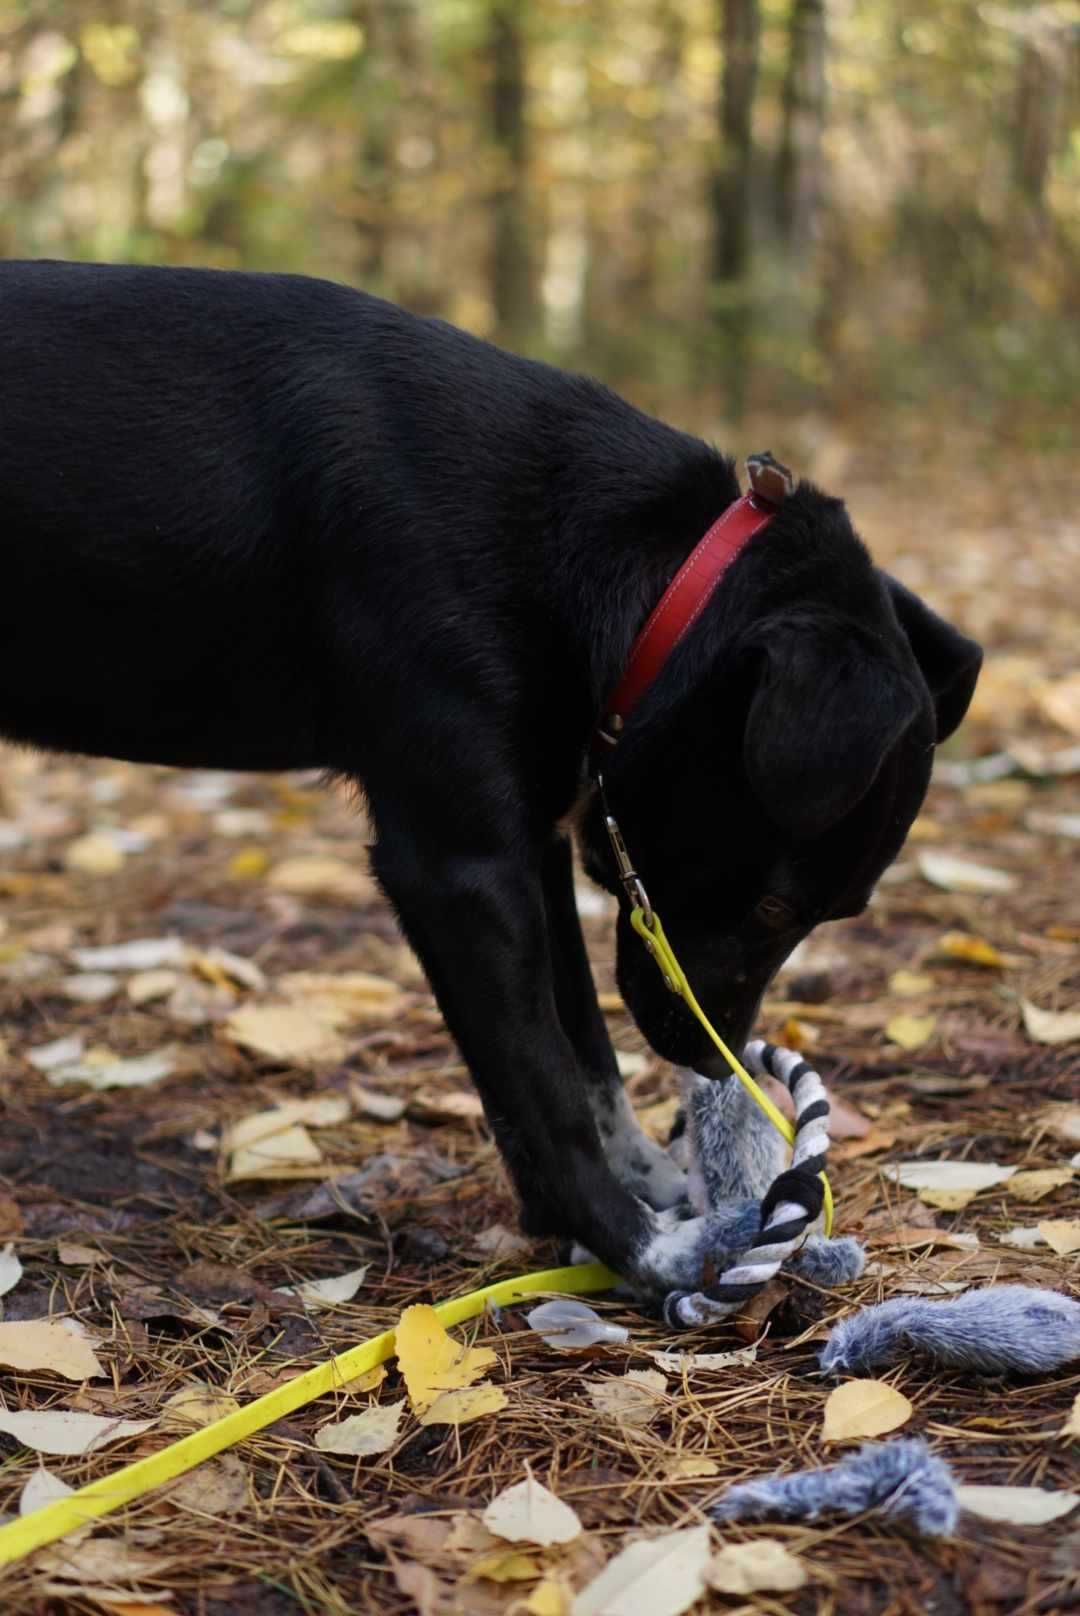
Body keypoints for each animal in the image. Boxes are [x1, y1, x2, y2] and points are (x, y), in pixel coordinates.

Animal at [0, 258, 976, 1299]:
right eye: (775, 909)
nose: (705, 1052)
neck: (612, 571)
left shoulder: (532, 839)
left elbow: (585, 1047)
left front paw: (653, 1184)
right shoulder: (459, 871)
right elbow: (541, 1084)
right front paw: (640, 1246)